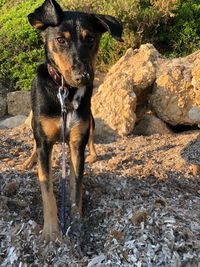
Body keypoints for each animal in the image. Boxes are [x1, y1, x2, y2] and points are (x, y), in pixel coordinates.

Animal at [27, 0, 122, 241]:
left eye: (91, 39)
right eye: (61, 40)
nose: (84, 77)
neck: (66, 93)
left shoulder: (77, 143)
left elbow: (76, 185)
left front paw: (77, 219)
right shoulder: (44, 145)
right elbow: (47, 191)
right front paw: (51, 231)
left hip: (90, 122)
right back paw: (28, 161)